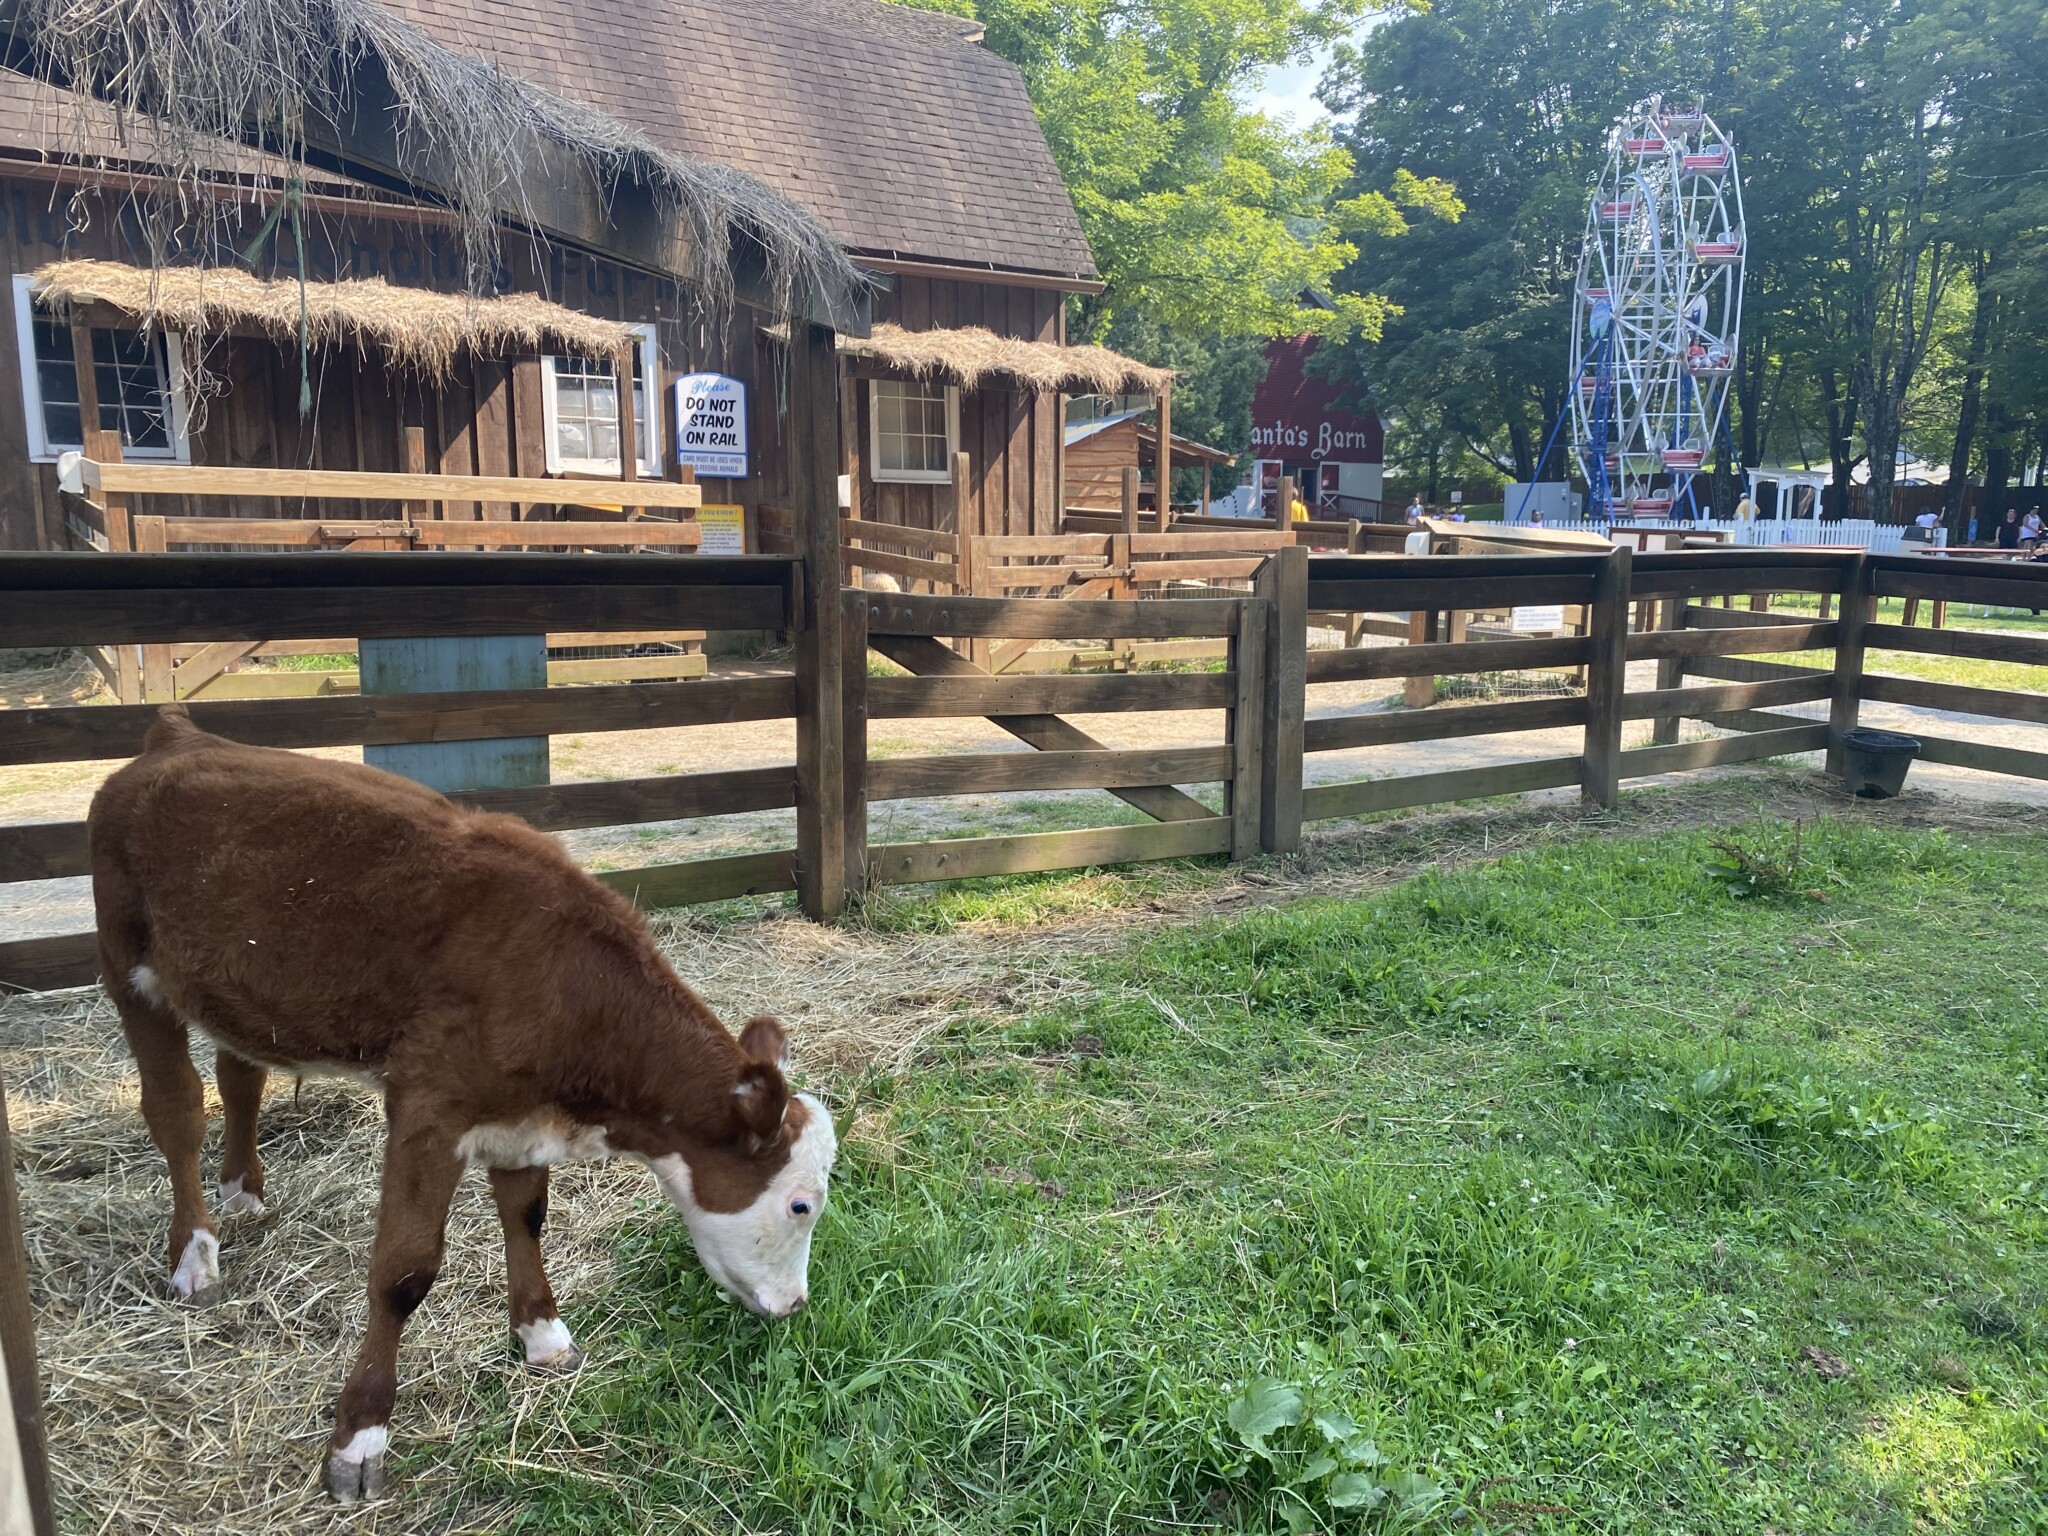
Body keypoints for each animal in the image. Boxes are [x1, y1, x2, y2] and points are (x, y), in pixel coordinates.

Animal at [87, 706, 836, 1502]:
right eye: (800, 1204)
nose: (795, 1306)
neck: (560, 985)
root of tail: (178, 733)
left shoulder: (519, 1117)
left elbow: (526, 1215)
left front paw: (542, 1334)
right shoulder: (430, 1106)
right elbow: (404, 1270)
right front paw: (360, 1436)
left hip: (243, 990)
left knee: (239, 1074)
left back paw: (243, 1191)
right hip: (126, 964)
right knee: (176, 1111)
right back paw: (195, 1254)